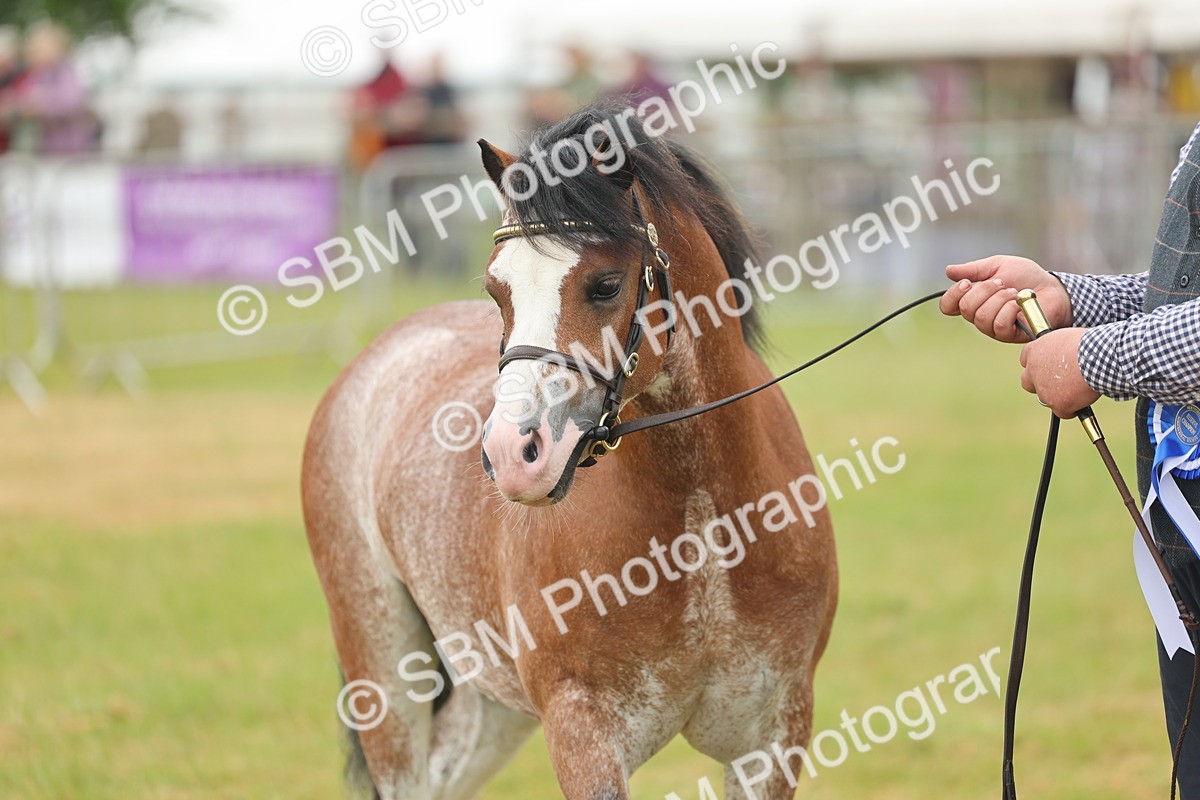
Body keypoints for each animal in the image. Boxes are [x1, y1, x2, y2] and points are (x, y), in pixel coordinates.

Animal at [302, 103, 837, 800]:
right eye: (496, 290)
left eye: (606, 285)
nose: (511, 454)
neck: (701, 522)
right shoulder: (583, 732)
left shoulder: (772, 737)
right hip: (383, 671)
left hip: (489, 702)